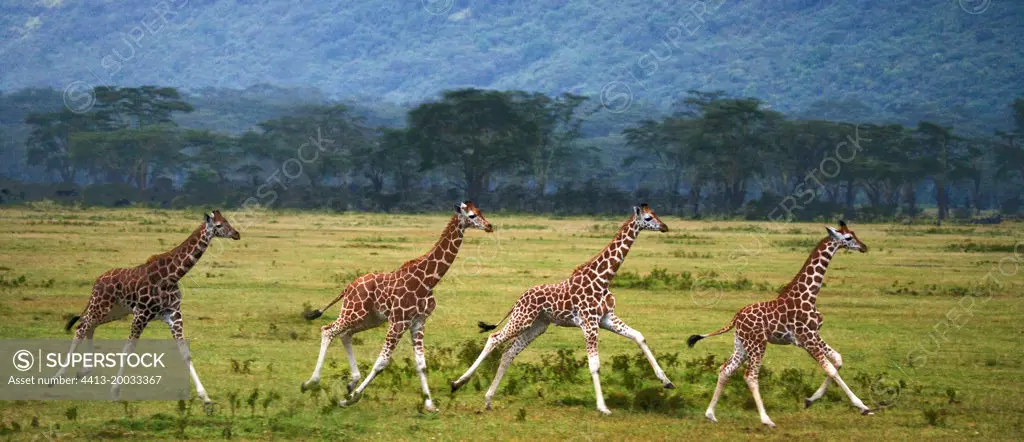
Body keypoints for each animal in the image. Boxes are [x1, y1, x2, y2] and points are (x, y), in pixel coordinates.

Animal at [55, 210, 240, 403]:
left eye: (227, 221)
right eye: (219, 225)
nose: (236, 234)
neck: (170, 278)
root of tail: (97, 281)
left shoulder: (174, 314)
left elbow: (185, 353)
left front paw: (205, 396)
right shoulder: (141, 314)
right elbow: (128, 350)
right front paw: (115, 390)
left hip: (114, 311)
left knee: (89, 326)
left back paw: (83, 371)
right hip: (100, 304)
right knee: (81, 327)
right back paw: (57, 377)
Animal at [299, 200, 495, 411]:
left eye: (481, 211)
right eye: (472, 216)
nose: (489, 226)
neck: (428, 281)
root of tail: (348, 287)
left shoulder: (418, 322)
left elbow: (421, 364)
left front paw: (429, 404)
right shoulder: (398, 320)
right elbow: (382, 362)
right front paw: (351, 398)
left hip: (370, 318)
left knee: (345, 334)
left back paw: (352, 381)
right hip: (353, 311)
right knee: (328, 330)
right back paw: (311, 383)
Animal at [448, 202, 671, 413]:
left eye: (656, 214)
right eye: (648, 218)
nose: (665, 227)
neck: (603, 279)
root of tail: (518, 300)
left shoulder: (606, 318)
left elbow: (639, 336)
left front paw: (666, 381)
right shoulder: (589, 323)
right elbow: (595, 365)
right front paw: (602, 407)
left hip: (537, 325)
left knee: (509, 353)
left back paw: (488, 400)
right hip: (523, 319)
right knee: (494, 338)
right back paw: (458, 383)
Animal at [688, 221, 872, 427]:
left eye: (854, 234)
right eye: (848, 238)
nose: (864, 247)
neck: (809, 295)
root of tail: (736, 317)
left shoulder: (813, 336)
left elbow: (838, 360)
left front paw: (810, 400)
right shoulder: (807, 338)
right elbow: (831, 369)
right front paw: (863, 406)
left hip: (741, 344)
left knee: (725, 370)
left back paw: (710, 414)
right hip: (757, 344)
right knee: (750, 376)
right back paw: (766, 419)